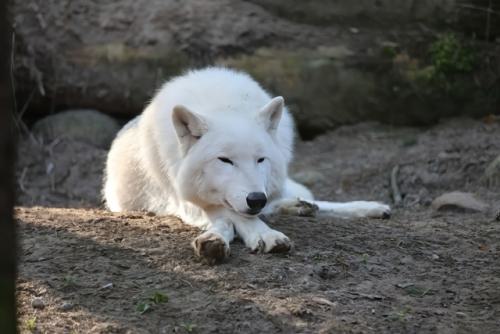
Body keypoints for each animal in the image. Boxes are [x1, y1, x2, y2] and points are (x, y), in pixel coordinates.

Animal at [103, 67, 388, 264]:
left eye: (260, 159)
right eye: (225, 160)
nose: (256, 199)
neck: (222, 104)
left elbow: (241, 215)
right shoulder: (187, 201)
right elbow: (231, 217)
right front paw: (249, 236)